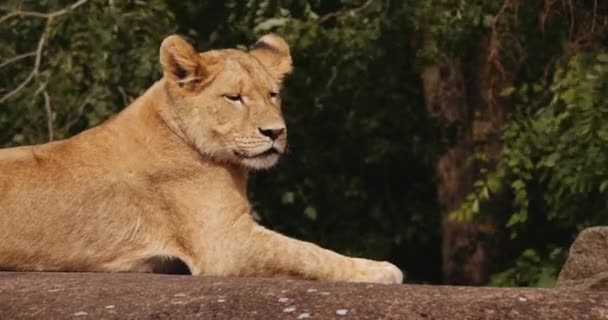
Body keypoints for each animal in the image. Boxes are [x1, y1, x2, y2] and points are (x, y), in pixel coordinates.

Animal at [0, 33, 404, 284]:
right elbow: (306, 253)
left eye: (273, 95)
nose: (276, 132)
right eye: (235, 98)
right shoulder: (226, 244)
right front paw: (380, 270)